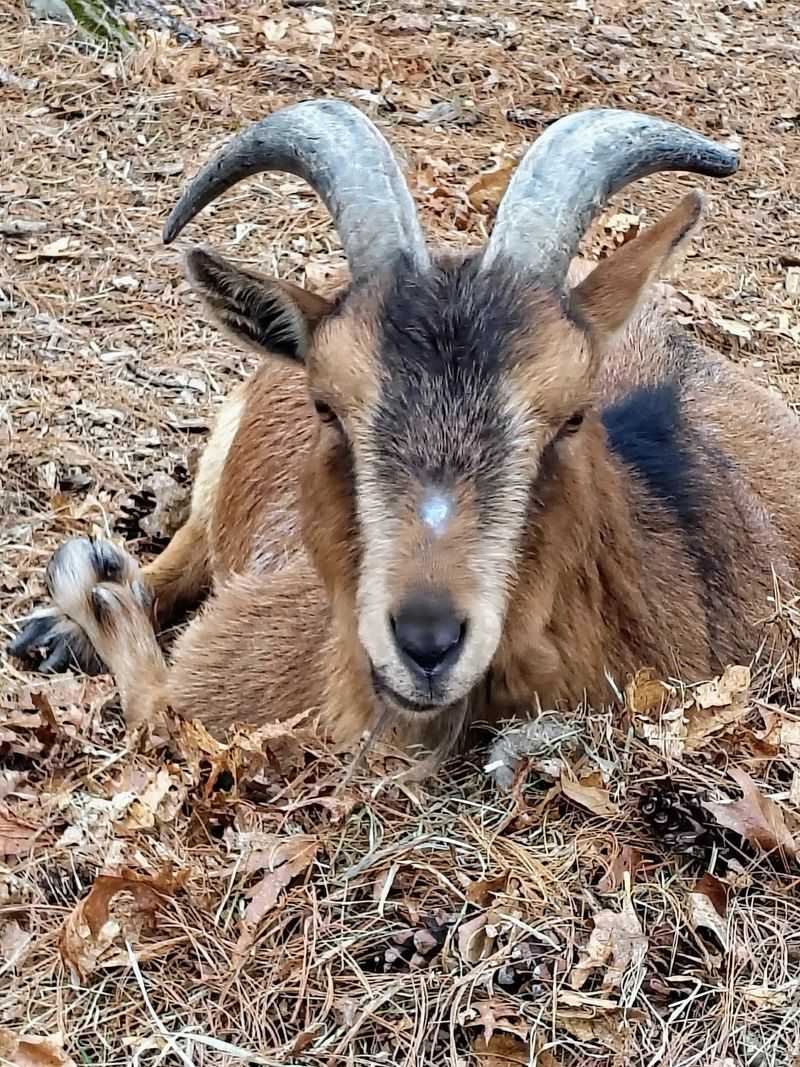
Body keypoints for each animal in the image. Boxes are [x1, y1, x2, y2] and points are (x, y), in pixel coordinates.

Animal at [10, 99, 800, 779]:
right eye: (326, 406)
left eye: (574, 415)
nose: (426, 642)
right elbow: (157, 707)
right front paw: (91, 595)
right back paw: (63, 618)